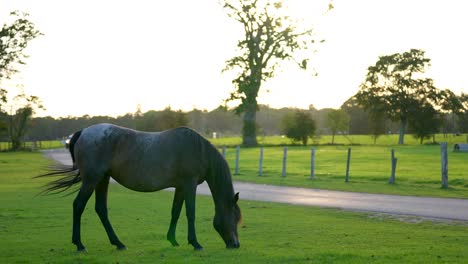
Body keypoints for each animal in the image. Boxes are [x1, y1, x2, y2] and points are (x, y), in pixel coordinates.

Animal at [36, 124, 241, 252]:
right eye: (235, 217)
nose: (236, 244)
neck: (198, 150)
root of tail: (84, 132)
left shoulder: (181, 187)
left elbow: (175, 212)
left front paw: (173, 240)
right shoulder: (189, 185)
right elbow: (190, 213)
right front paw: (195, 243)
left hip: (102, 179)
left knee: (101, 209)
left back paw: (118, 243)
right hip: (91, 180)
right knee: (78, 205)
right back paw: (80, 244)